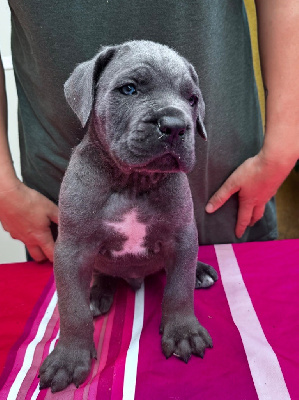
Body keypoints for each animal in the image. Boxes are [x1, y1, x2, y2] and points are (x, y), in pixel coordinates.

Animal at [39, 41, 218, 394]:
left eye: (192, 100)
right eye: (130, 89)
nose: (175, 125)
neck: (132, 182)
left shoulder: (182, 237)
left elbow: (178, 290)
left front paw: (183, 332)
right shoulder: (71, 250)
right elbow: (71, 309)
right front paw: (69, 358)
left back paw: (200, 271)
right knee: (101, 275)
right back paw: (97, 293)